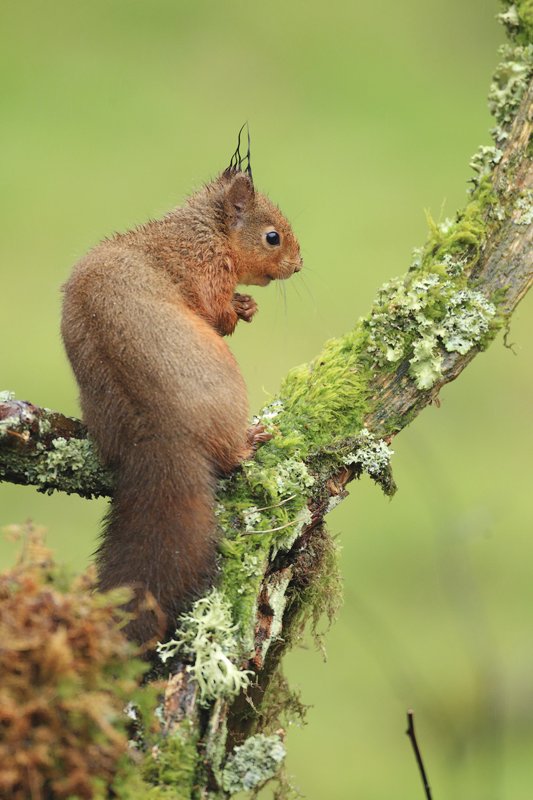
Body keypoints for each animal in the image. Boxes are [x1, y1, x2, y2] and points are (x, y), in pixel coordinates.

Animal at [60, 131, 302, 644]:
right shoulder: (204, 269)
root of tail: (162, 430)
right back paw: (250, 440)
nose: (299, 264)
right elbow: (214, 312)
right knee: (229, 457)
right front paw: (240, 309)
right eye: (272, 236)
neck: (202, 231)